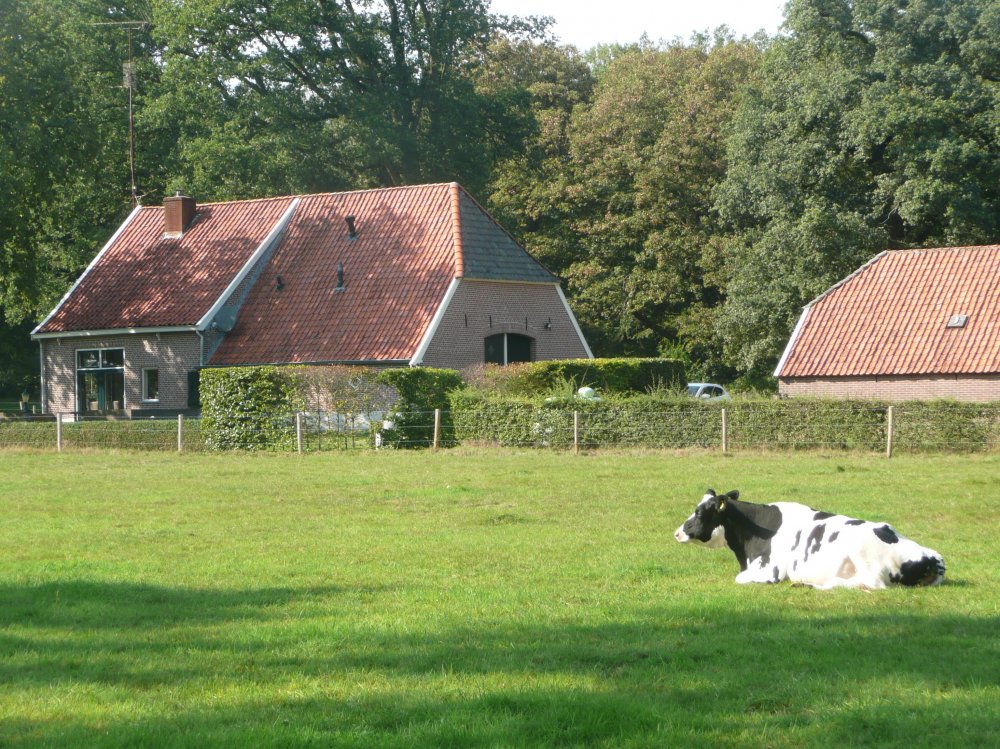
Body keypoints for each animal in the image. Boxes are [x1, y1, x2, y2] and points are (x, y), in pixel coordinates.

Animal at [674, 489, 945, 590]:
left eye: (700, 512)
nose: (677, 532)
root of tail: (932, 557)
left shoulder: (771, 571)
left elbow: (740, 579)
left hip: (862, 553)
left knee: (871, 584)